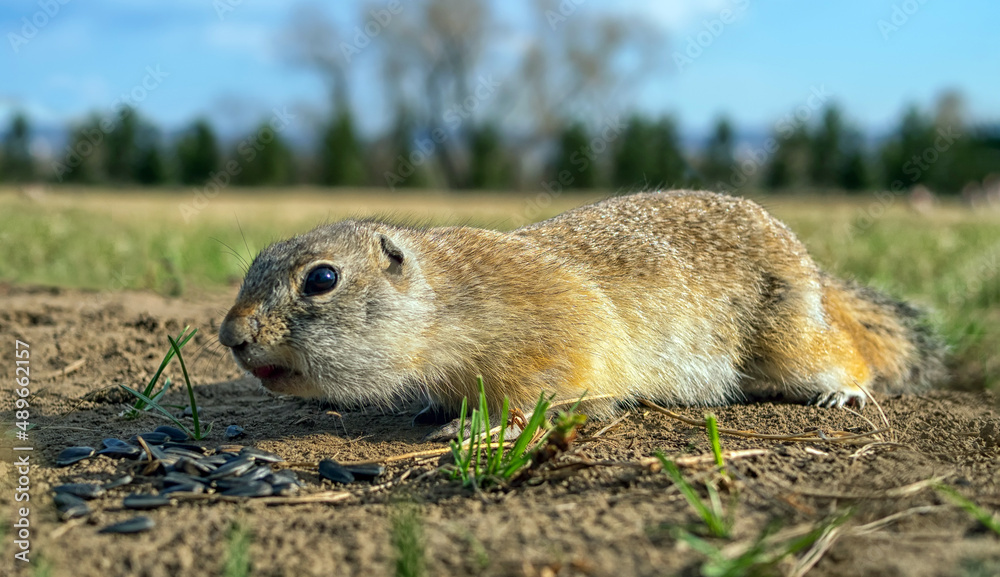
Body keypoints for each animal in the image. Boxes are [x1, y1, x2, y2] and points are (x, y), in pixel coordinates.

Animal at [217, 191, 944, 416]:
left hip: (792, 338)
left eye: (321, 279)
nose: (230, 337)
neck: (444, 301)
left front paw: (483, 427)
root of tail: (815, 273)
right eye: (252, 266)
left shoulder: (553, 331)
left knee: (847, 355)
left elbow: (551, 383)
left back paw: (845, 391)